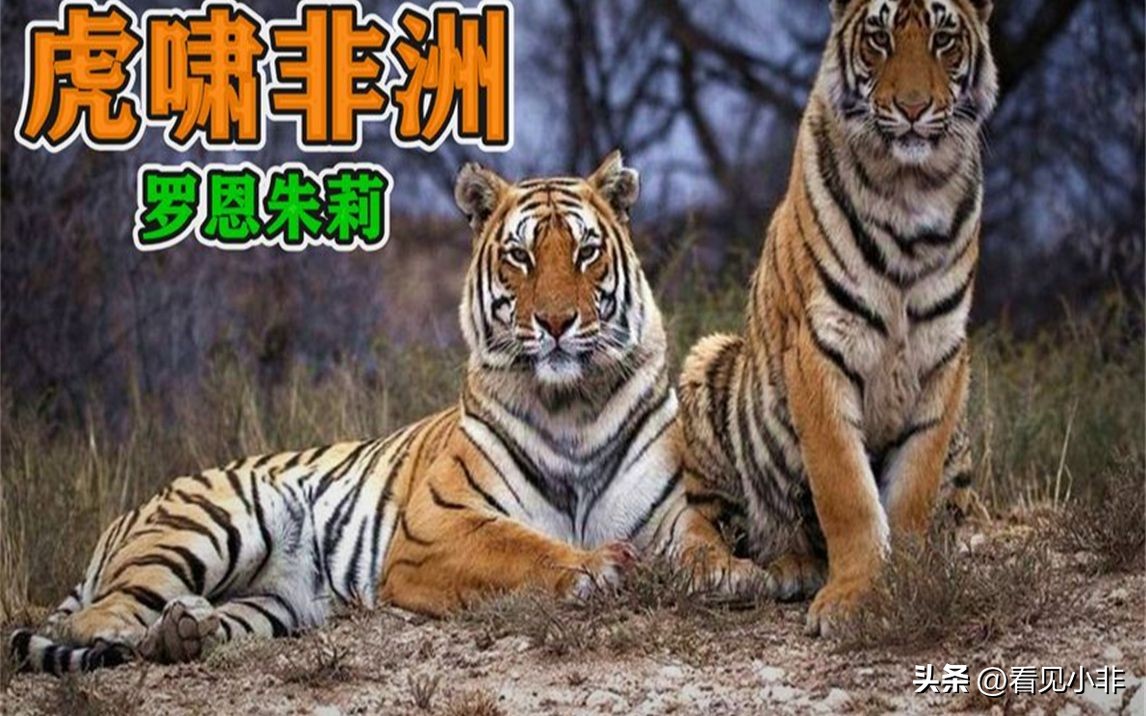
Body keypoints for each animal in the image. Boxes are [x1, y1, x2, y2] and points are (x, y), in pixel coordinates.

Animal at [9, 152, 744, 675]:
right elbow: (520, 547)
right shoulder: (435, 528)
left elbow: (703, 542)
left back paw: (188, 631)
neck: (574, 405)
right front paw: (597, 568)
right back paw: (146, 629)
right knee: (90, 620)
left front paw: (736, 573)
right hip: (214, 522)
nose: (557, 322)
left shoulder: (670, 509)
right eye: (521, 255)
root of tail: (131, 511)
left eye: (587, 252)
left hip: (274, 604)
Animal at [678, 0, 997, 636]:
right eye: (879, 38)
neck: (910, 189)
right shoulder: (820, 351)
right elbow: (846, 489)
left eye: (943, 39)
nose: (913, 108)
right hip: (707, 362)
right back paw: (752, 569)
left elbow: (913, 489)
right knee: (701, 519)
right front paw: (853, 597)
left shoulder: (944, 356)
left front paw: (910, 583)